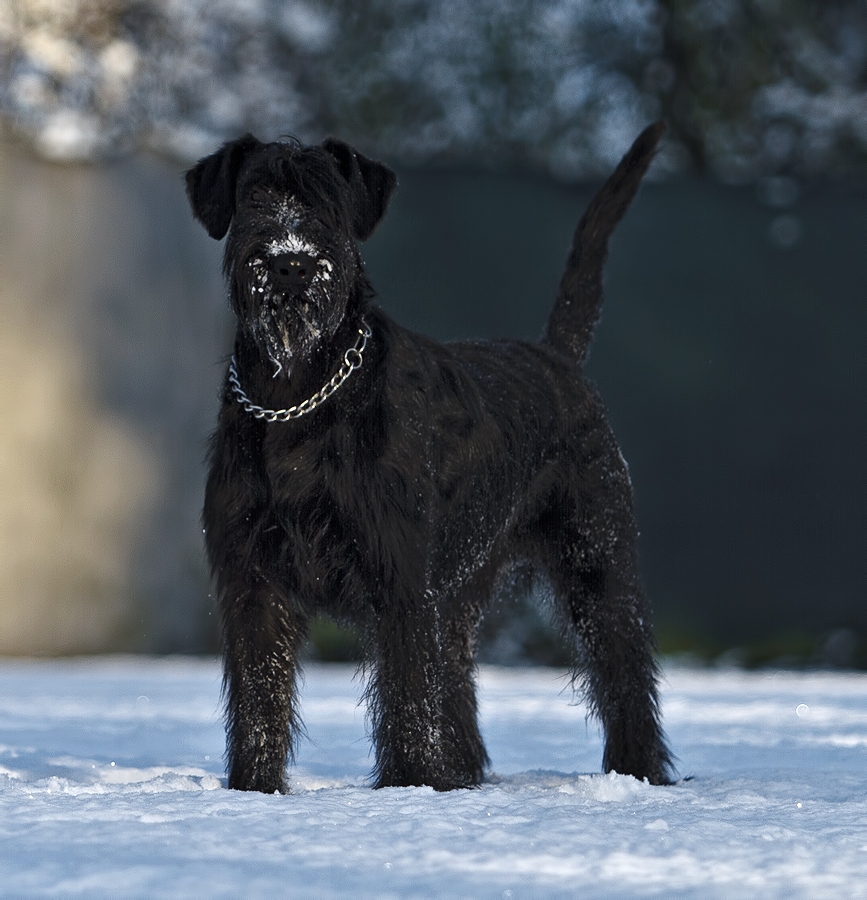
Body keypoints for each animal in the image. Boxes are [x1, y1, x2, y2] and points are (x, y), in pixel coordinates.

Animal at [186, 121, 676, 796]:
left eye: (328, 202)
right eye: (256, 196)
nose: (290, 261)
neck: (298, 396)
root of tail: (557, 358)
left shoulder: (400, 580)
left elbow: (408, 697)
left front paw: (409, 787)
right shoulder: (255, 579)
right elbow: (261, 698)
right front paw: (253, 790)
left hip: (596, 562)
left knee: (623, 669)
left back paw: (638, 773)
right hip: (462, 592)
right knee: (459, 681)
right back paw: (463, 776)